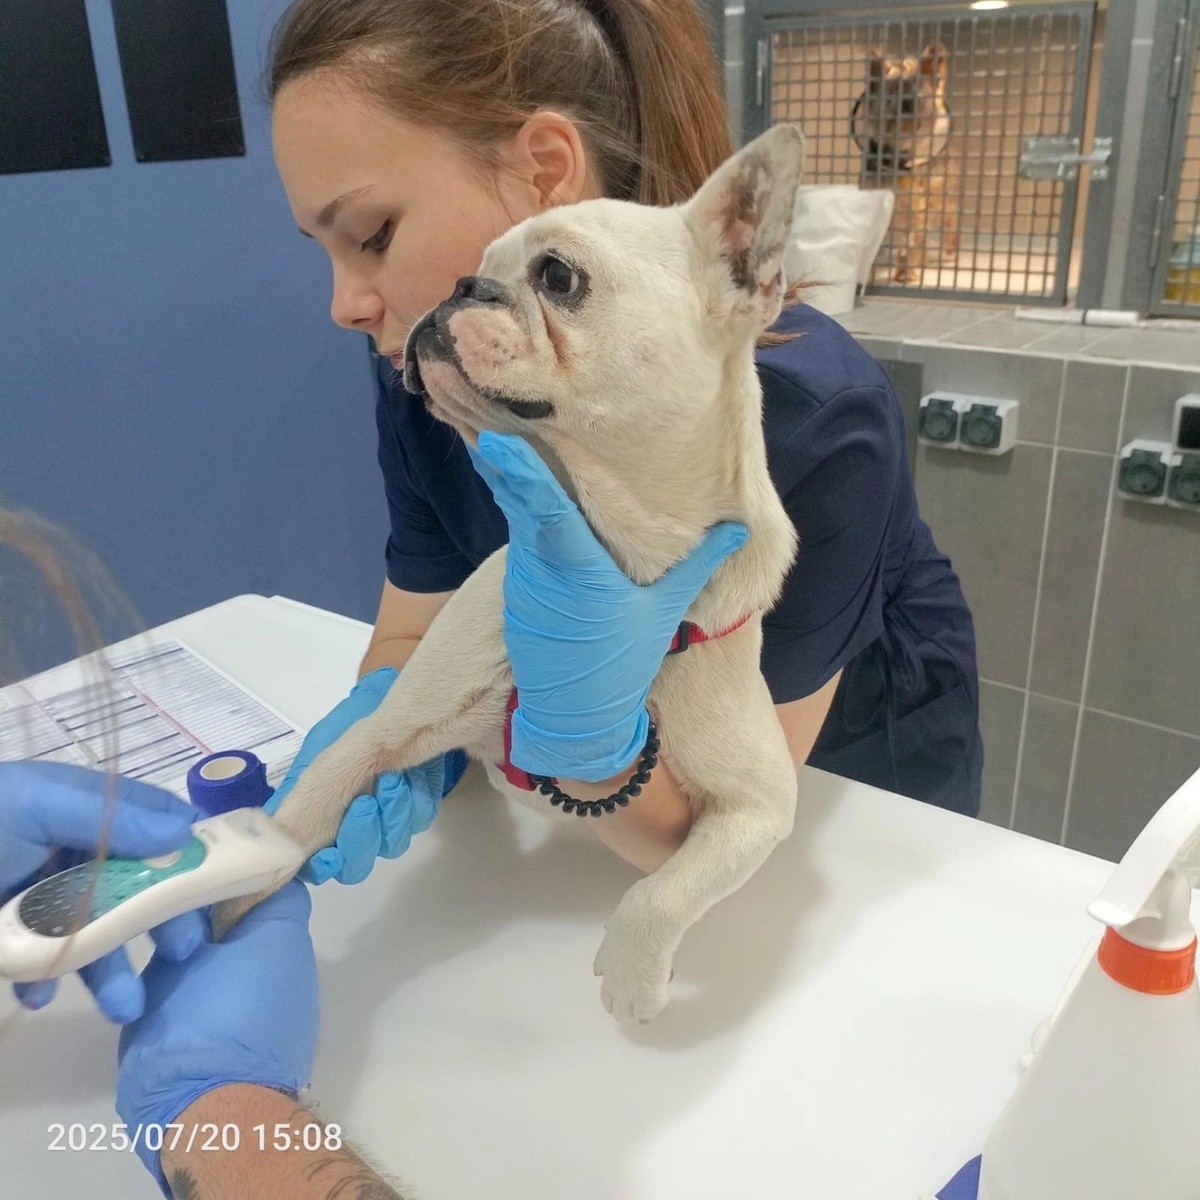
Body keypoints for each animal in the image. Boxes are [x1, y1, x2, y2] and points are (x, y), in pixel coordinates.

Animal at [212, 124, 806, 1023]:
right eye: (470, 263)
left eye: (558, 277)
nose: (462, 287)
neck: (612, 562)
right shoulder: (385, 728)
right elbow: (313, 797)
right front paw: (228, 913)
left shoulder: (761, 803)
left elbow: (667, 890)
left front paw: (633, 975)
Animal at [852, 42, 959, 283]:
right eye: (889, 96)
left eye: (919, 93)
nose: (907, 103)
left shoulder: (915, 211)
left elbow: (912, 243)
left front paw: (908, 272)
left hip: (945, 198)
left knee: (949, 220)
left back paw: (948, 251)